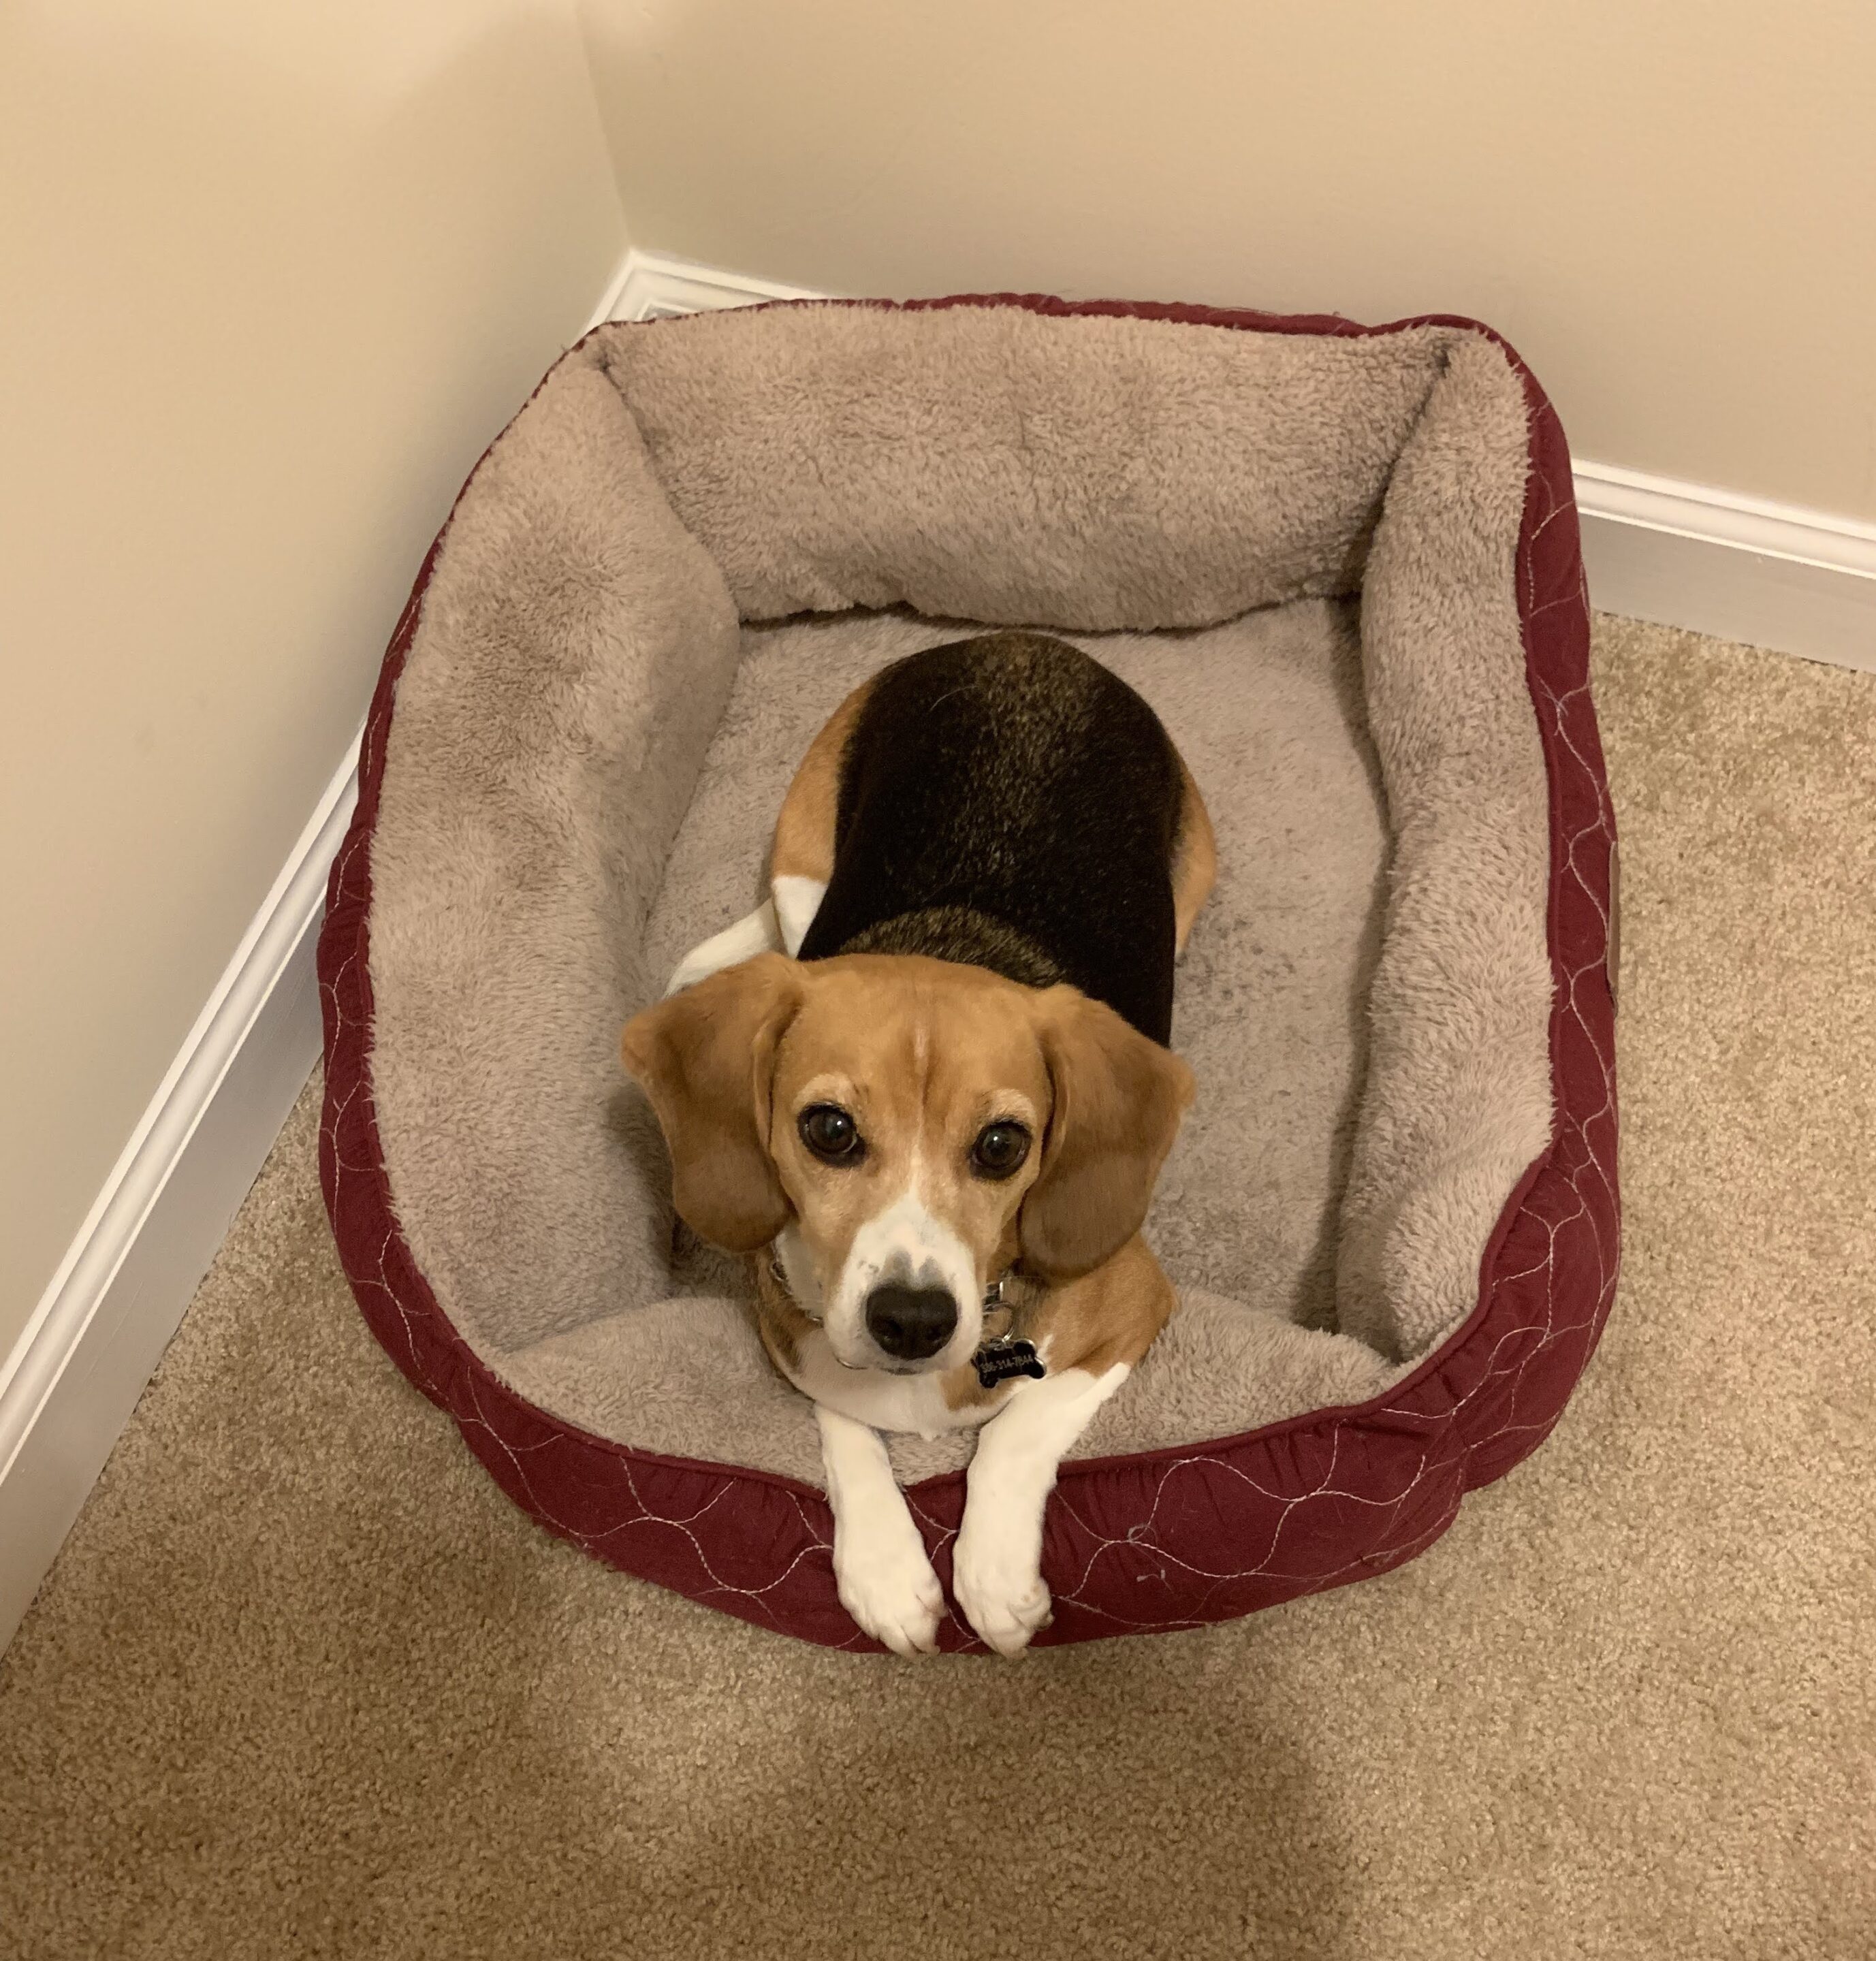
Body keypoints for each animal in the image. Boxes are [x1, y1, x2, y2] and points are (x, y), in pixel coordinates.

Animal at [623, 631, 1215, 1655]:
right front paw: (887, 1571)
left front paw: (993, 1575)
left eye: (1002, 1146)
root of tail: (1023, 642)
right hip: (803, 867)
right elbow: (842, 1418)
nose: (911, 1320)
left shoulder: (1135, 1305)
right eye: (827, 1130)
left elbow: (1015, 1432)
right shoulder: (788, 1332)